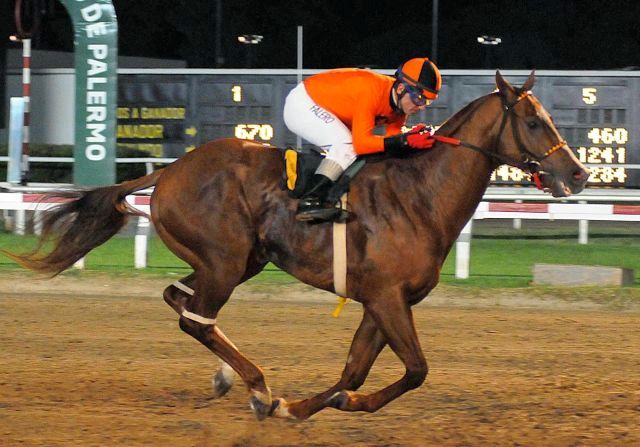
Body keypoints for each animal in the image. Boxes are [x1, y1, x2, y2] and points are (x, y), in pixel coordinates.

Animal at [6, 71, 592, 420]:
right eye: (534, 121)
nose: (580, 174)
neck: (420, 194)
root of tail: (169, 170)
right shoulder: (387, 297)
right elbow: (416, 370)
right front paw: (302, 403)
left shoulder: (382, 301)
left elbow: (357, 369)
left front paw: (313, 405)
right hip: (224, 260)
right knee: (194, 317)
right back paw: (256, 385)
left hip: (238, 261)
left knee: (182, 301)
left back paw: (233, 379)